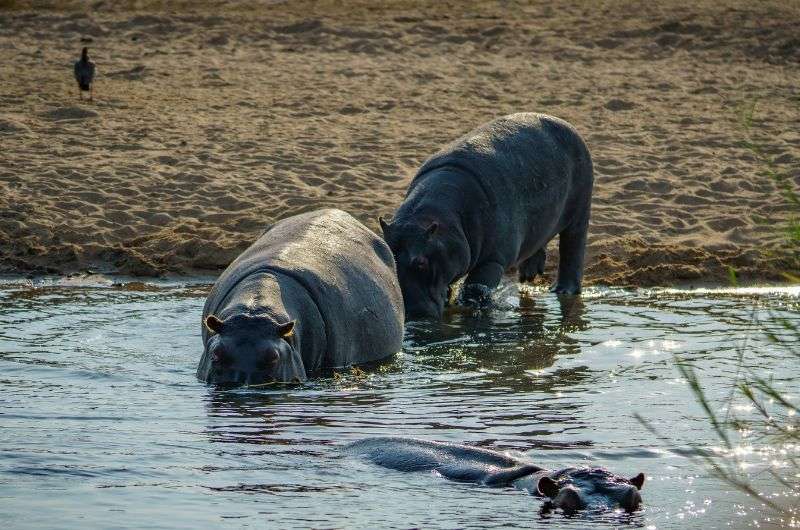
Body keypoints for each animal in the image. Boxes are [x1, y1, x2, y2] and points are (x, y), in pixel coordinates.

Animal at [382, 112, 592, 318]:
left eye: (421, 263)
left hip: (580, 209)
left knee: (573, 246)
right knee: (538, 241)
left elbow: (476, 287)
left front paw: (471, 307)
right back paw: (528, 276)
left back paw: (563, 291)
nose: (412, 313)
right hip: (541, 221)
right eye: (388, 258)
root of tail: (564, 122)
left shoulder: (493, 260)